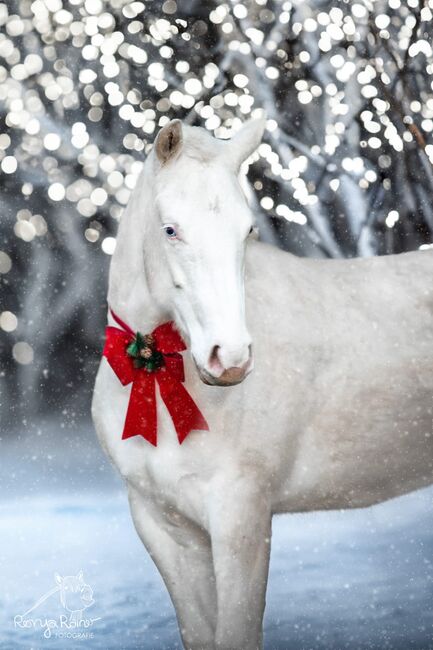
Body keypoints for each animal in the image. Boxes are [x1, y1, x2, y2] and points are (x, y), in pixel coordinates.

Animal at [93, 117, 432, 648]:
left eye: (247, 230)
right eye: (171, 230)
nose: (229, 358)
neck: (154, 371)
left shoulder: (241, 518)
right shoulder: (164, 525)